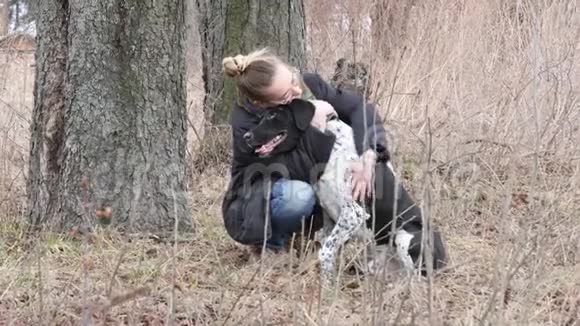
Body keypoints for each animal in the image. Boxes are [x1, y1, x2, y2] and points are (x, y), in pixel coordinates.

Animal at [245, 98, 448, 282]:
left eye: (273, 115)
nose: (246, 136)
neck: (332, 146)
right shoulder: (329, 214)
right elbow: (328, 246)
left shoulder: (354, 213)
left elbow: (325, 251)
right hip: (376, 262)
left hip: (407, 235)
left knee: (415, 281)